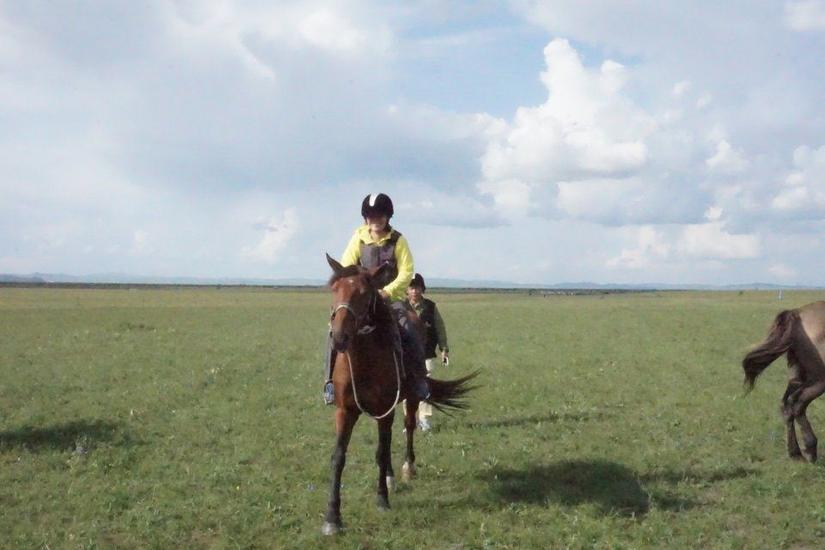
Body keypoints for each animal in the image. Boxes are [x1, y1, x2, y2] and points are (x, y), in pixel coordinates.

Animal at [322, 256, 476, 536]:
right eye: (334, 289)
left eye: (364, 293)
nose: (339, 337)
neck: (364, 360)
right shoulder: (346, 410)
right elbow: (338, 457)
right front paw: (332, 518)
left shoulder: (386, 407)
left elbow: (382, 451)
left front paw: (382, 499)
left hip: (409, 399)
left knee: (408, 428)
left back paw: (406, 468)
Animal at [744, 304, 824, 464]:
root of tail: (797, 313)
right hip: (819, 379)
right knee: (797, 403)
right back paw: (810, 450)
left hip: (797, 377)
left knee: (786, 404)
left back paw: (795, 453)